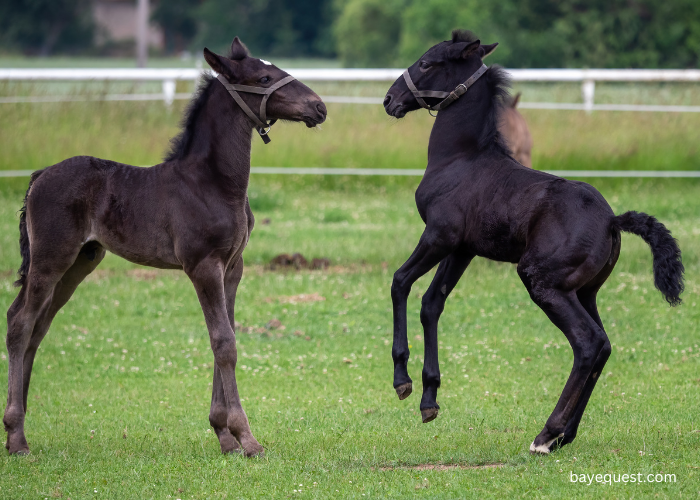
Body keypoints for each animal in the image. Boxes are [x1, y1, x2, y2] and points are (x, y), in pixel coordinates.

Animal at [4, 37, 326, 456]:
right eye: (264, 78)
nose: (319, 107)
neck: (213, 182)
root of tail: (40, 175)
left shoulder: (232, 268)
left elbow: (227, 335)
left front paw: (224, 435)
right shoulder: (203, 266)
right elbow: (224, 342)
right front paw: (246, 437)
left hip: (80, 262)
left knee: (38, 327)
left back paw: (19, 431)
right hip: (50, 259)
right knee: (20, 322)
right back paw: (16, 436)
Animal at [382, 29, 684, 456]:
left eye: (426, 62)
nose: (390, 100)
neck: (460, 159)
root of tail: (612, 220)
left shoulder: (438, 236)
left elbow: (400, 282)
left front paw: (402, 381)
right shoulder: (462, 249)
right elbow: (432, 303)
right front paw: (430, 399)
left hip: (543, 282)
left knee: (588, 343)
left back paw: (546, 434)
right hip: (584, 291)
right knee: (604, 345)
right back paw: (564, 436)